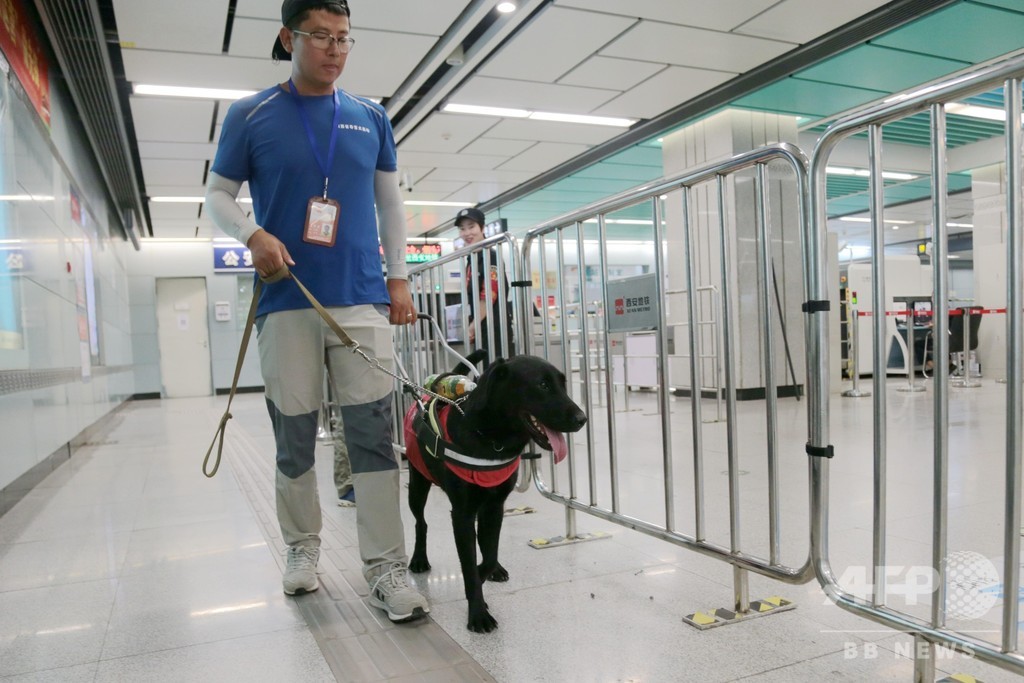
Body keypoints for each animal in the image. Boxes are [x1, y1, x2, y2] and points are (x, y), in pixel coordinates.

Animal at [403, 356, 589, 634]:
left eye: (563, 384)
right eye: (542, 385)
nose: (582, 418)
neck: (492, 438)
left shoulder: (496, 506)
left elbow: (488, 556)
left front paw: (484, 578)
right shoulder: (462, 514)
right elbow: (469, 565)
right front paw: (478, 613)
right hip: (417, 485)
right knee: (420, 522)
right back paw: (418, 559)